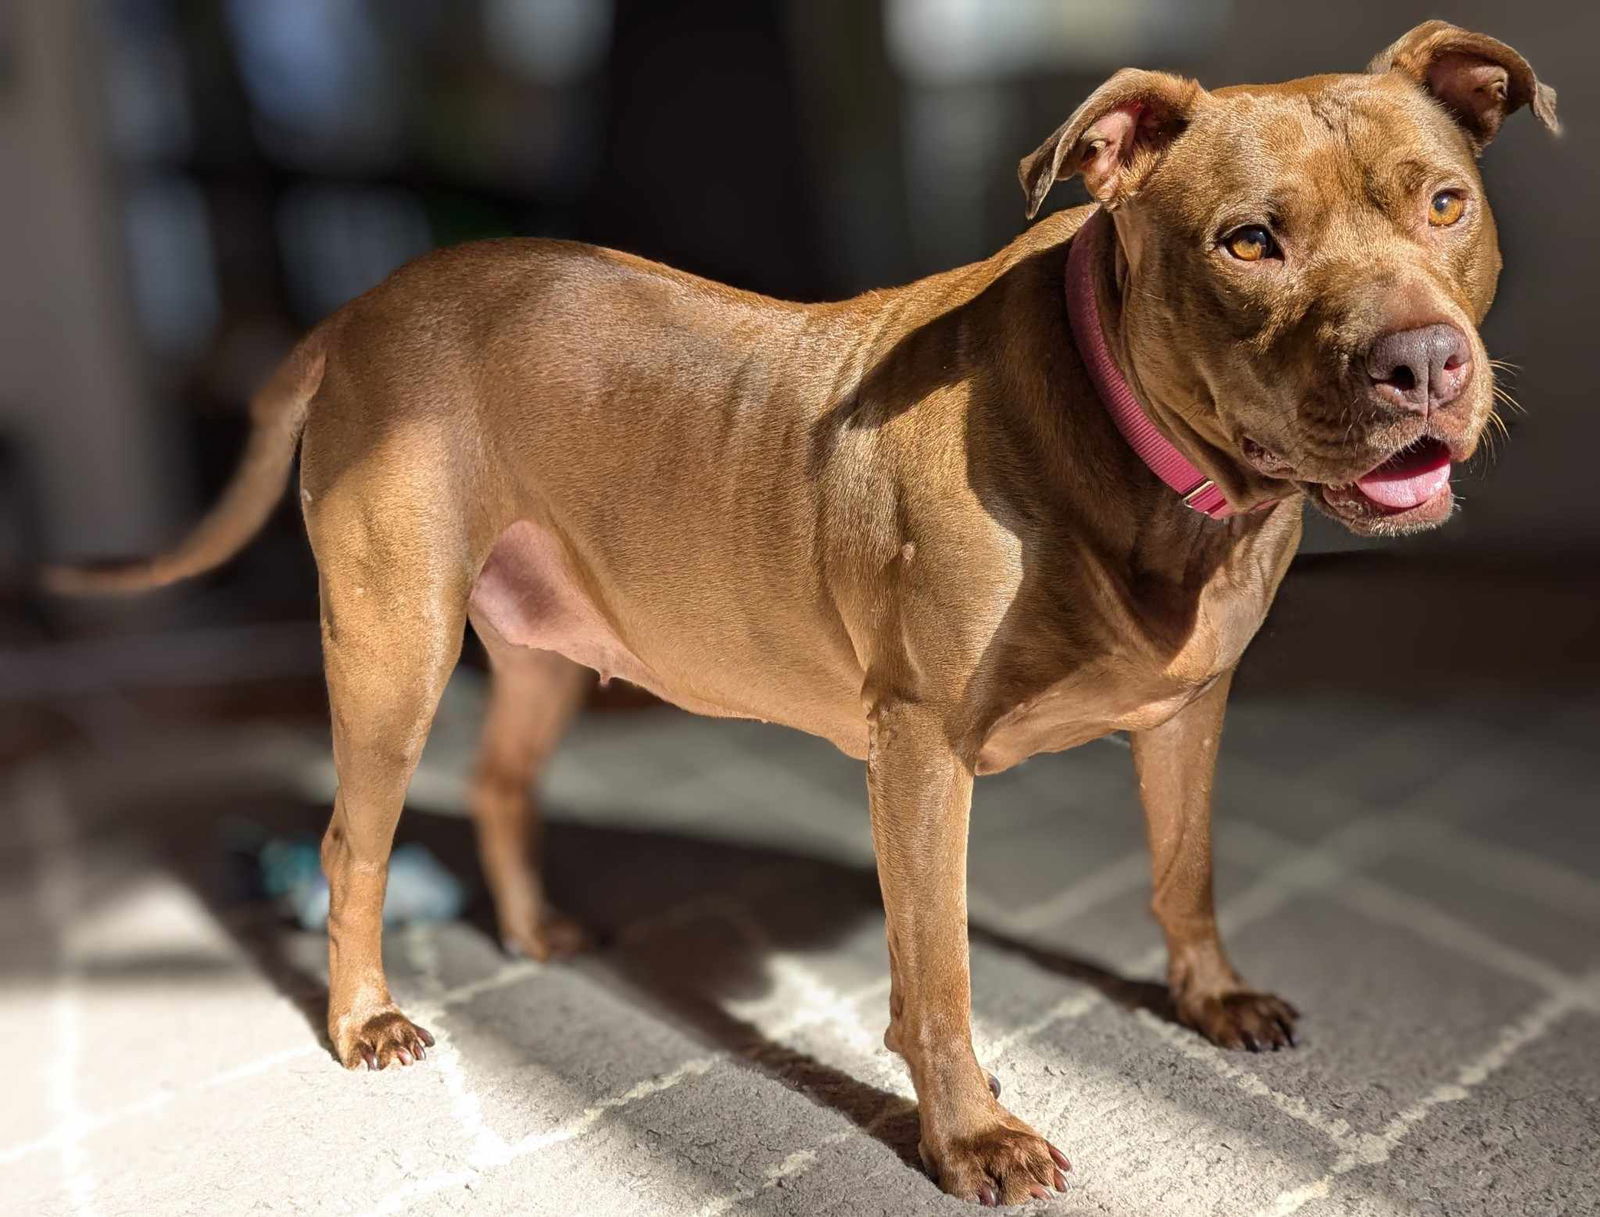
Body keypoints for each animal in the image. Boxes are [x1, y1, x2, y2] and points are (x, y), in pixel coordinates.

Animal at [50, 21, 1548, 1209]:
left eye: (1444, 204)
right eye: (1250, 241)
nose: (1424, 362)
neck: (1142, 459)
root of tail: (364, 306)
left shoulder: (1190, 710)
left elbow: (1186, 870)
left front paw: (1206, 997)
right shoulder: (921, 757)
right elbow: (937, 973)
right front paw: (969, 1135)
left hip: (541, 644)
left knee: (496, 785)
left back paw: (535, 936)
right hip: (392, 647)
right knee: (352, 840)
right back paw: (364, 1016)